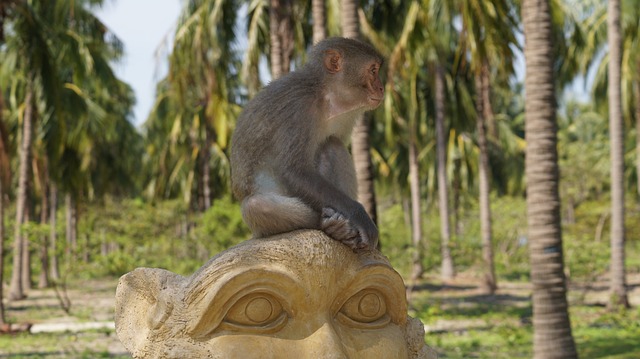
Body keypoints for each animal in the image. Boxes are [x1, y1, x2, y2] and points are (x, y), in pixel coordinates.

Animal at [230, 35, 382, 250]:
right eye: (373, 70)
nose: (381, 87)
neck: (326, 96)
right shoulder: (298, 107)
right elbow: (295, 170)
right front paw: (358, 215)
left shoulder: (349, 115)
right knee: (257, 206)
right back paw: (327, 224)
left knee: (332, 145)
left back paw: (339, 229)